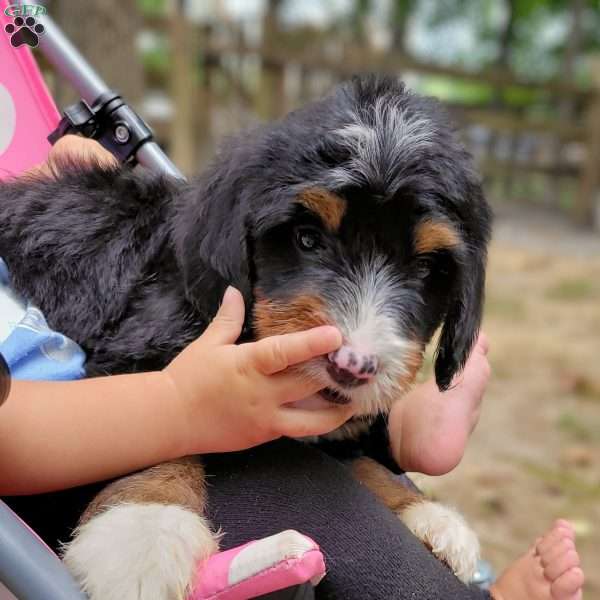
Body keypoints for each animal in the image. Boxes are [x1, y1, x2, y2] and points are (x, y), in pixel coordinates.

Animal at [0, 76, 492, 600]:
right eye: (306, 238)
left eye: (425, 268)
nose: (351, 365)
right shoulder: (127, 356)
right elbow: (156, 428)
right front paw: (142, 534)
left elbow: (367, 462)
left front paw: (431, 516)